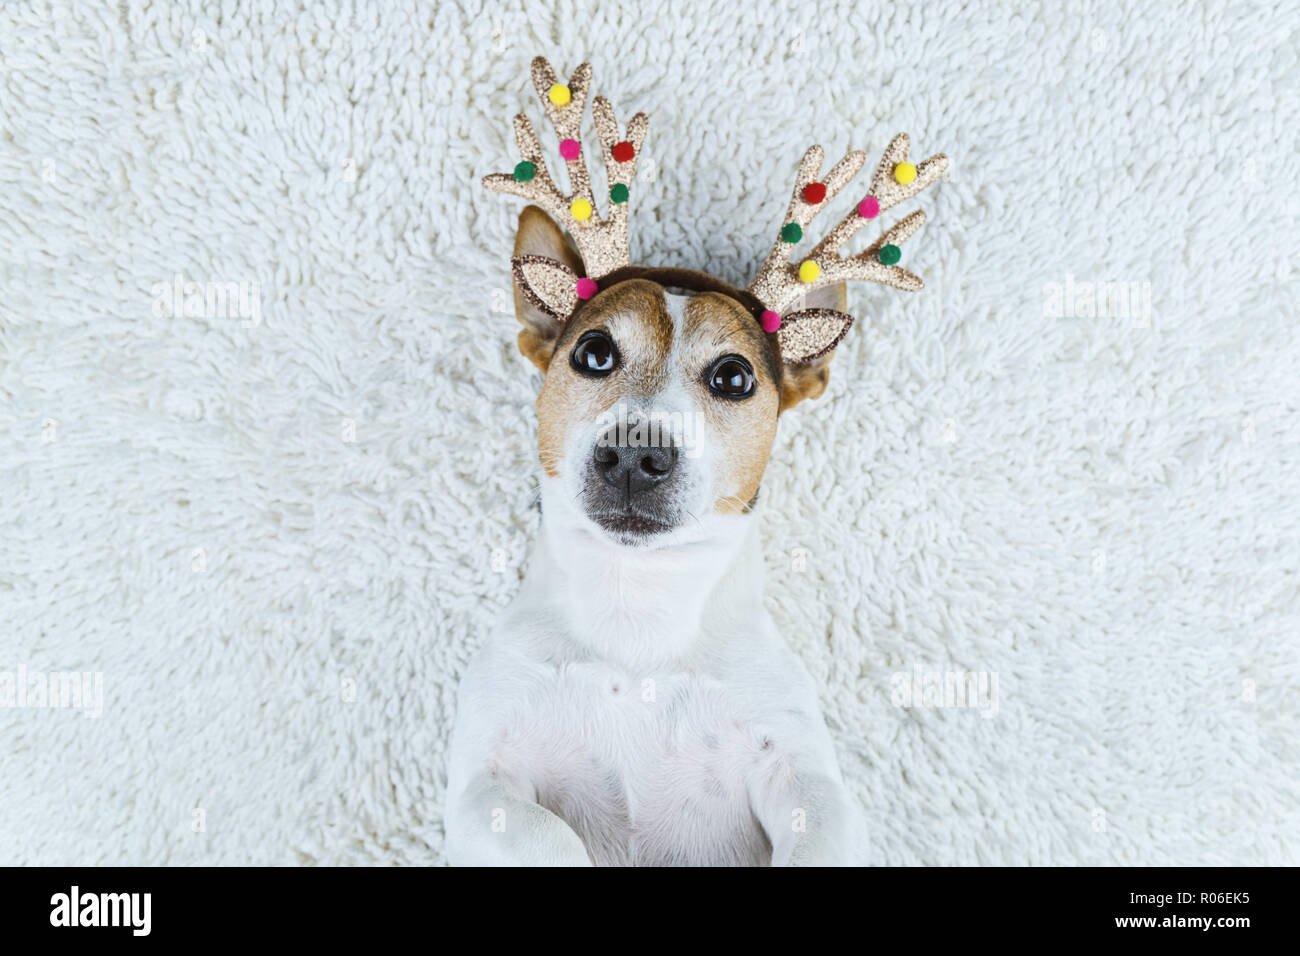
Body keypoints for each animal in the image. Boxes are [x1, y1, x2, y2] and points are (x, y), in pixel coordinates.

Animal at [447, 59, 946, 868]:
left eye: (734, 377)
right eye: (594, 353)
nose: (636, 453)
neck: (638, 612)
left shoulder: (804, 778)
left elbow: (819, 820)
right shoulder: (483, 785)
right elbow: (538, 830)